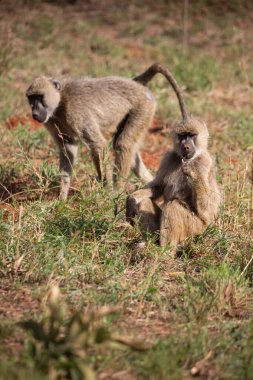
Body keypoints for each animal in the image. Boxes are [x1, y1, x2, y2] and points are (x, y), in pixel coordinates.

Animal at [126, 67, 221, 248]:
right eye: (182, 135)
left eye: (192, 135)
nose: (186, 146)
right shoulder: (168, 158)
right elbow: (158, 187)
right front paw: (132, 198)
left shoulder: (204, 163)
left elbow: (208, 210)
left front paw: (192, 173)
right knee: (144, 203)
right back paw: (149, 244)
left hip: (197, 230)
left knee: (174, 206)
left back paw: (164, 251)